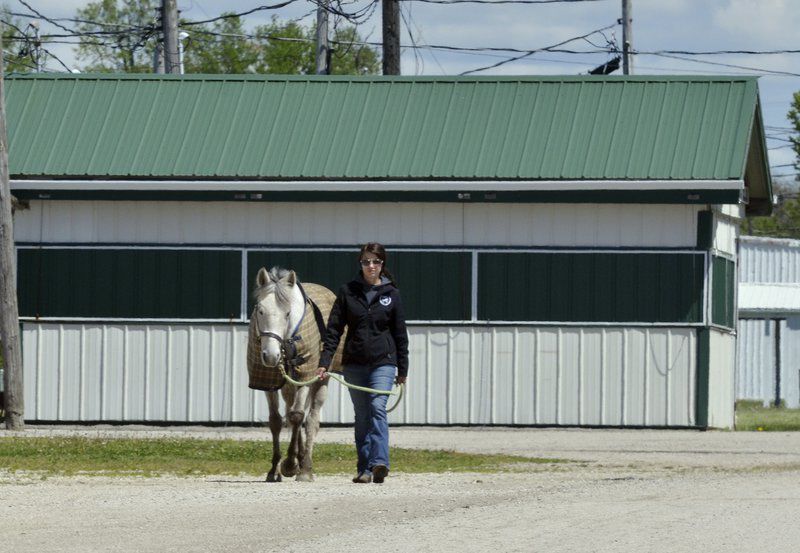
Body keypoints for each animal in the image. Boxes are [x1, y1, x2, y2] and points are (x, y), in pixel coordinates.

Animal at [248, 266, 340, 480]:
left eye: (287, 313)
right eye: (260, 310)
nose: (271, 356)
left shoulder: (305, 375)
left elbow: (298, 416)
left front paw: (290, 465)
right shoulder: (269, 381)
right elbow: (275, 420)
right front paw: (274, 469)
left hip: (320, 379)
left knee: (311, 419)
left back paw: (305, 466)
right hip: (288, 385)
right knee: (291, 411)